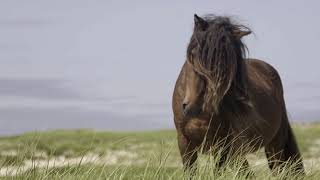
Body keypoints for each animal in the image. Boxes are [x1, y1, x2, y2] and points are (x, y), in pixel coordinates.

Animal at [172, 14, 304, 176]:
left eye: (227, 65)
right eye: (192, 54)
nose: (194, 107)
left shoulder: (225, 145)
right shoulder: (184, 142)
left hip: (274, 143)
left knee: (277, 168)